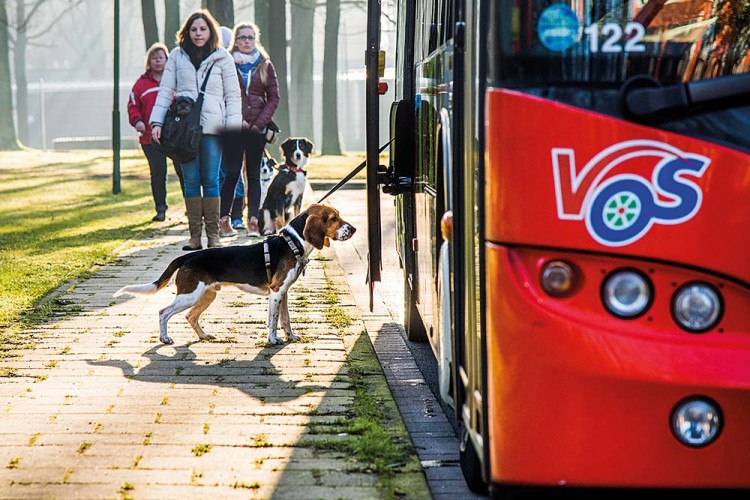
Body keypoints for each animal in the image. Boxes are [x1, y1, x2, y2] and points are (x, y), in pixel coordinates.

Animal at [113, 205, 356, 346]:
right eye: (333, 219)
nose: (353, 229)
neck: (292, 243)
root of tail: (187, 256)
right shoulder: (276, 292)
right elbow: (273, 320)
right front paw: (273, 339)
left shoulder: (283, 293)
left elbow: (286, 319)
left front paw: (291, 337)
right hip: (189, 295)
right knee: (164, 312)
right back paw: (164, 338)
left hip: (207, 295)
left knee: (190, 316)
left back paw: (203, 336)